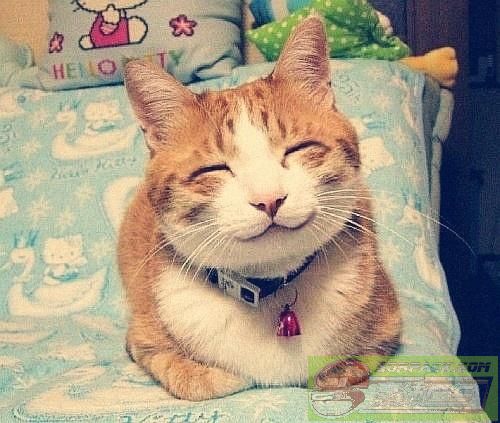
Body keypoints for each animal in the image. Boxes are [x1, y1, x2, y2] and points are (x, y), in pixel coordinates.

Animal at [119, 16, 400, 401]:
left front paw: (336, 371)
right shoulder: (141, 337)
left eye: (299, 148)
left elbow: (355, 363)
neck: (268, 289)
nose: (269, 199)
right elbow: (183, 374)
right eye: (214, 169)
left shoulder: (390, 323)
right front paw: (207, 374)